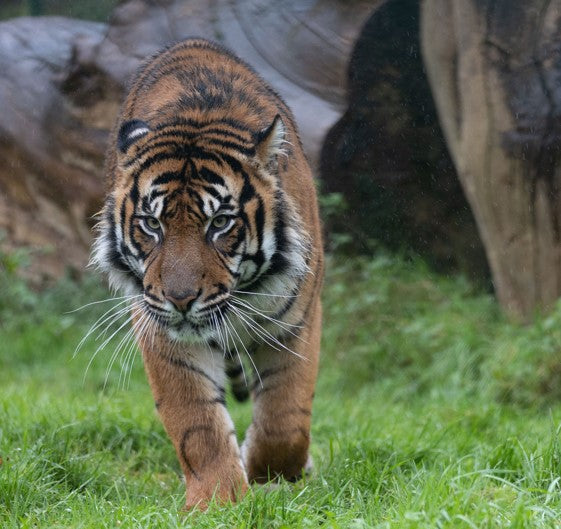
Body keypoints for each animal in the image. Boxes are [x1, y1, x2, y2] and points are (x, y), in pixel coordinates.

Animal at [92, 37, 324, 508]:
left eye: (219, 223)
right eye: (151, 224)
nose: (181, 299)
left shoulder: (298, 321)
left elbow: (286, 420)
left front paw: (267, 473)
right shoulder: (161, 329)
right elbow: (197, 424)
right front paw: (219, 501)